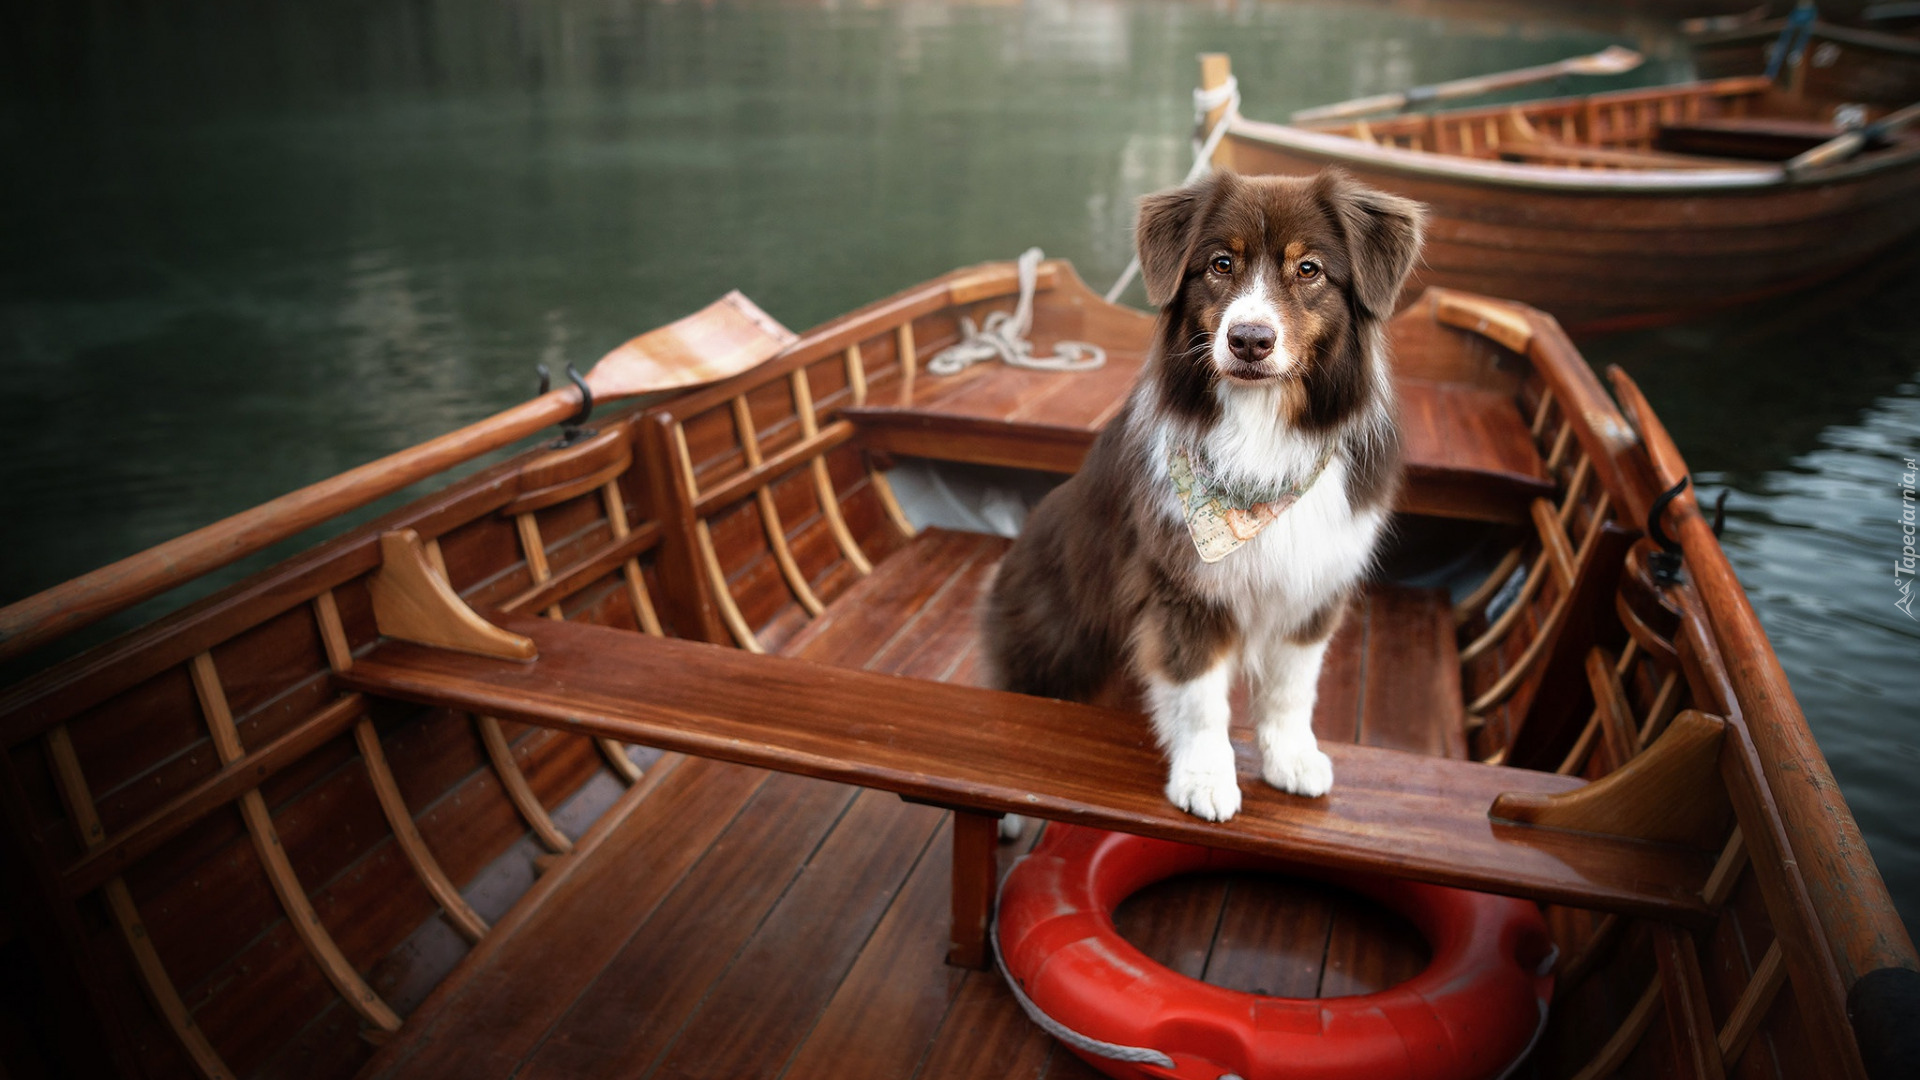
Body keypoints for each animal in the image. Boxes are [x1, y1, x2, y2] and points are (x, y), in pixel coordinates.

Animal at [983, 168, 1420, 818]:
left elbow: (1292, 688)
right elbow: (1199, 700)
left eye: (1309, 269)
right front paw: (1206, 779)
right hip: (1055, 639)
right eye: (1220, 263)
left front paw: (1292, 758)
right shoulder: (1183, 591)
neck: (1260, 434)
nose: (1249, 340)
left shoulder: (1314, 583)